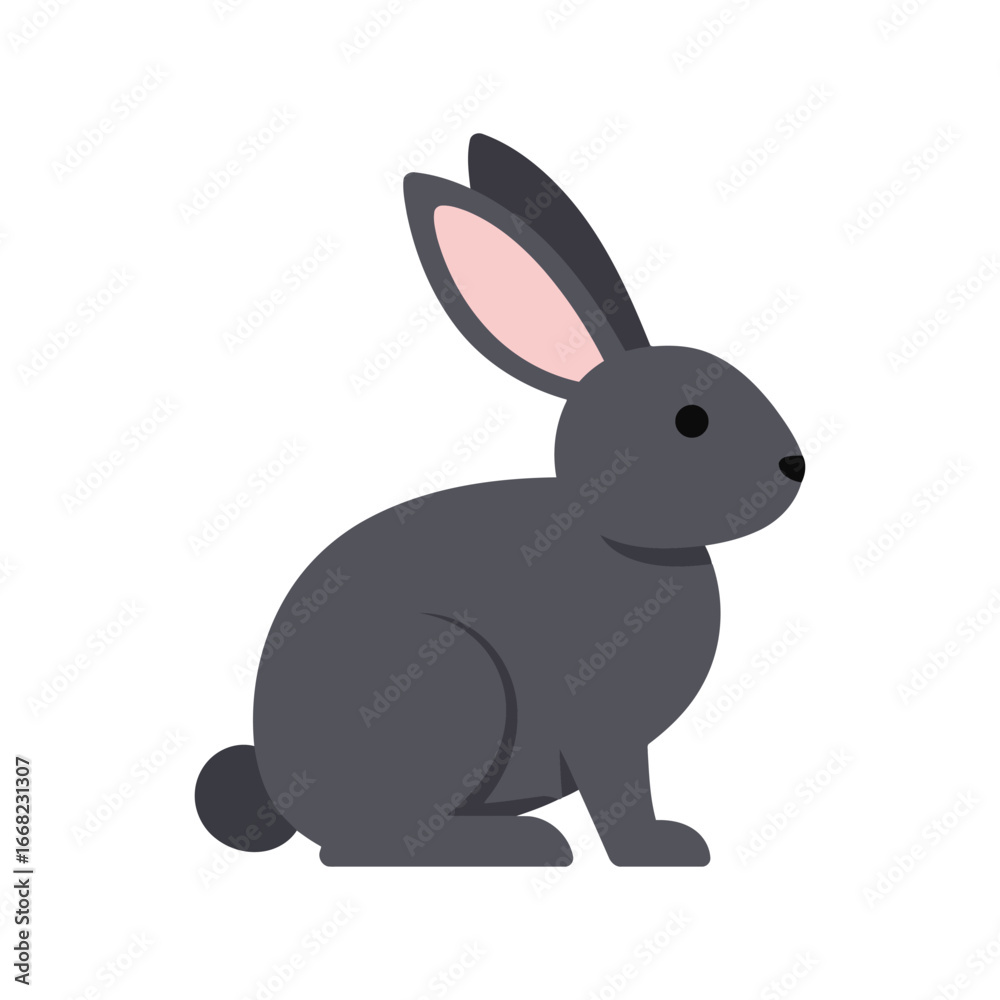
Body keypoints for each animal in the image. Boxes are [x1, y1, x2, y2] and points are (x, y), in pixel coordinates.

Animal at [195, 134, 805, 867]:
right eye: (691, 420)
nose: (794, 468)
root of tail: (280, 792)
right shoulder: (601, 728)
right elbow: (619, 791)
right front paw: (658, 850)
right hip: (450, 682)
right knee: (370, 844)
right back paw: (526, 842)